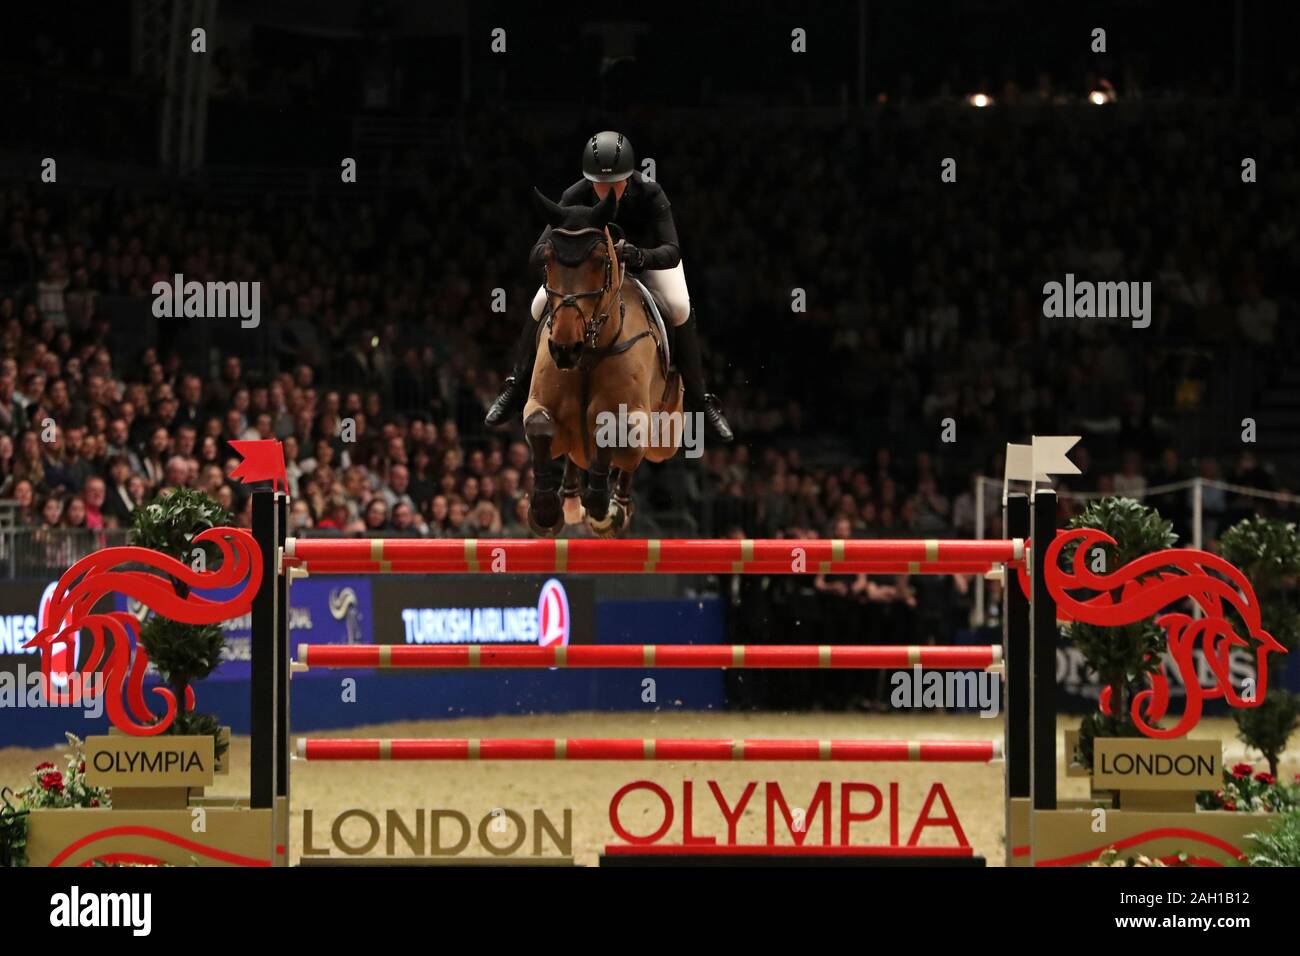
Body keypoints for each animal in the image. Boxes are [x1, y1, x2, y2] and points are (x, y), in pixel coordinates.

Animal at [520, 188, 686, 538]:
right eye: (547, 260)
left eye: (600, 261)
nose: (565, 348)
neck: (589, 354)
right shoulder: (539, 406)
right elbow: (539, 425)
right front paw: (545, 511)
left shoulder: (635, 416)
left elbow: (614, 430)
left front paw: (603, 510)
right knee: (575, 458)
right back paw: (570, 500)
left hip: (665, 437)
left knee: (634, 460)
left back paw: (618, 508)